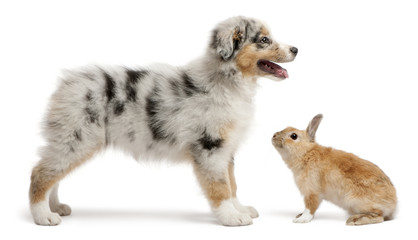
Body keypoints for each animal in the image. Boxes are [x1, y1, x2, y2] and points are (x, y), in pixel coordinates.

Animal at [28, 15, 298, 226]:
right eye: (264, 40)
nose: (296, 49)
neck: (228, 79)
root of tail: (68, 82)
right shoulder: (210, 146)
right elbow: (221, 185)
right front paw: (232, 217)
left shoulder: (226, 148)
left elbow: (232, 184)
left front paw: (239, 208)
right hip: (77, 138)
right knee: (40, 173)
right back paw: (43, 215)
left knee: (53, 173)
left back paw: (55, 206)